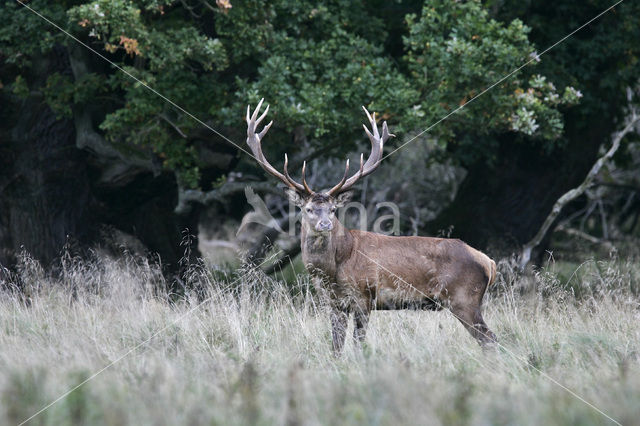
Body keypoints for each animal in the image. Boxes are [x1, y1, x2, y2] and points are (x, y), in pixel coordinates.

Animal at [242, 99, 498, 352]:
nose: (325, 224)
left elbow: (358, 345)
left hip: (464, 298)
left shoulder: (364, 295)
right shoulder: (334, 303)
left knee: (490, 339)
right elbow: (336, 347)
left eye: (333, 210)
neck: (333, 270)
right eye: (308, 209)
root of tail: (489, 262)